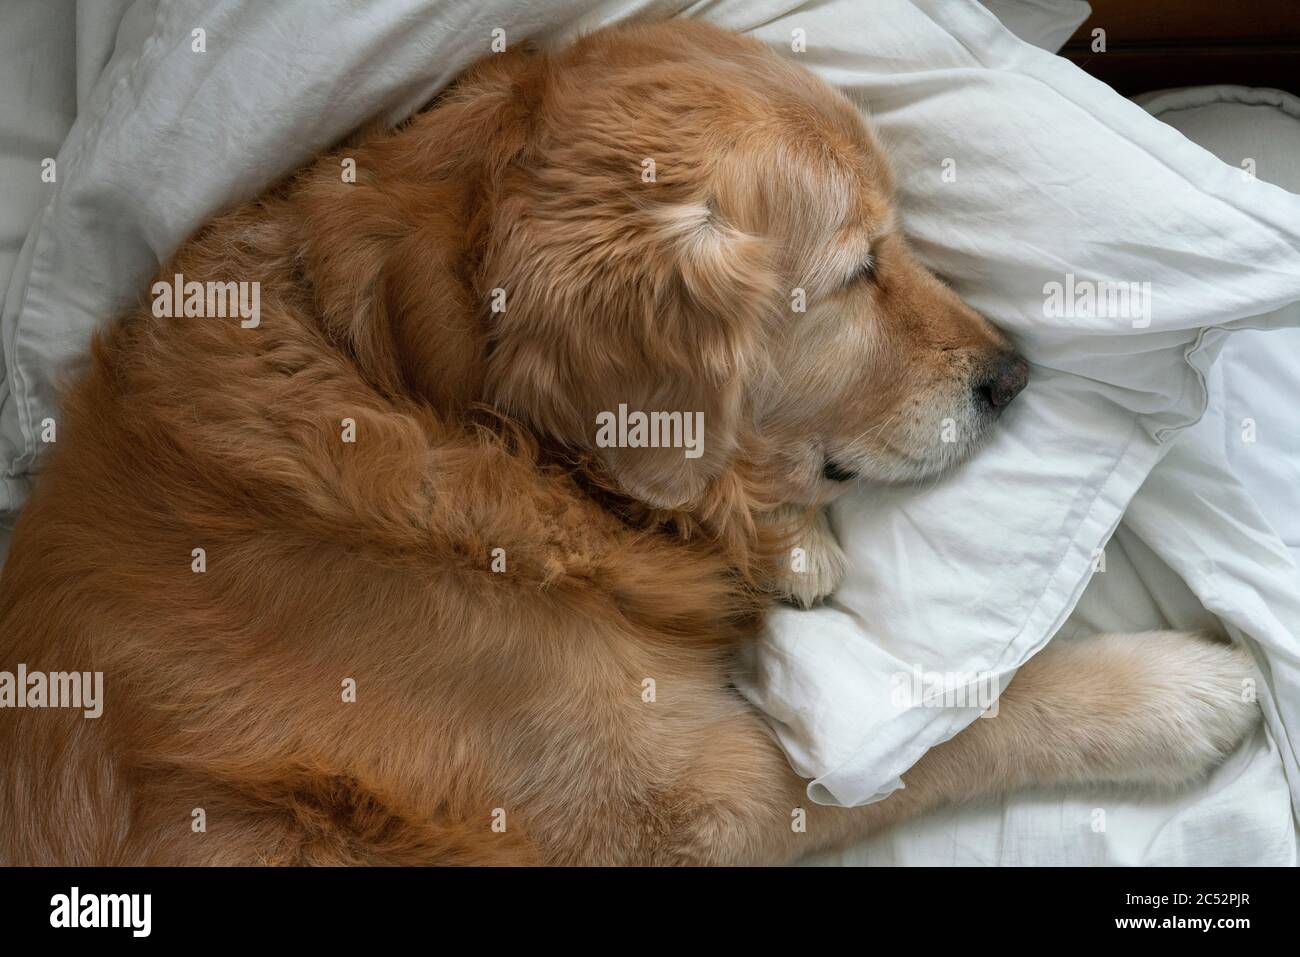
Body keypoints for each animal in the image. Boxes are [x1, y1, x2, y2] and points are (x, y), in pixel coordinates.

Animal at [2, 20, 1258, 868]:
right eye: (855, 270)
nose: (1011, 375)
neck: (431, 401)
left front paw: (790, 543)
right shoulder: (680, 804)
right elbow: (939, 741)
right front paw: (1178, 691)